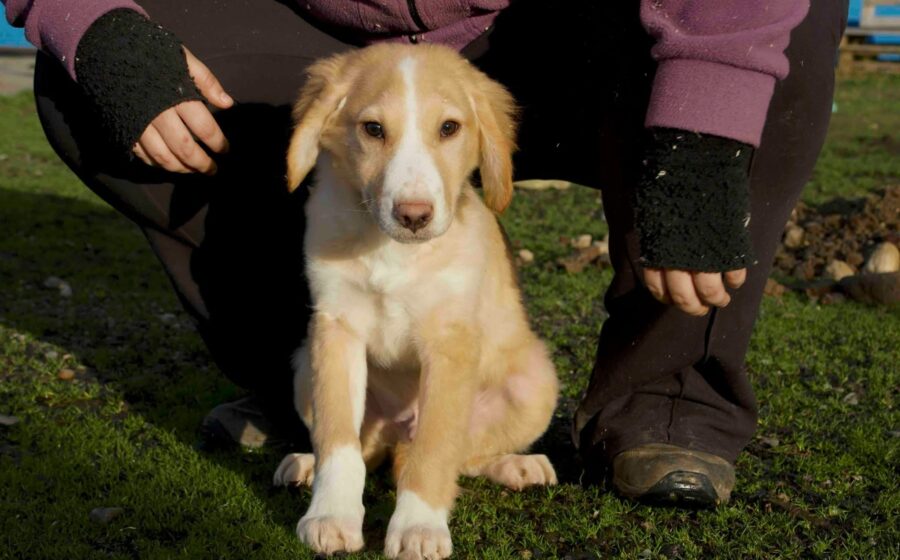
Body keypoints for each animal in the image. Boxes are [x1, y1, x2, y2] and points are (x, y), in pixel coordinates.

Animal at [272, 43, 559, 559]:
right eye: (373, 129)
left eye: (448, 128)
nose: (413, 216)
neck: (390, 250)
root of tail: (396, 430)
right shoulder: (335, 328)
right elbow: (338, 438)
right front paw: (331, 515)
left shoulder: (450, 343)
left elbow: (436, 448)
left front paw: (418, 527)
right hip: (304, 367)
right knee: (364, 448)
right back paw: (305, 463)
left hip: (537, 384)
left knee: (464, 454)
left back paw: (516, 466)